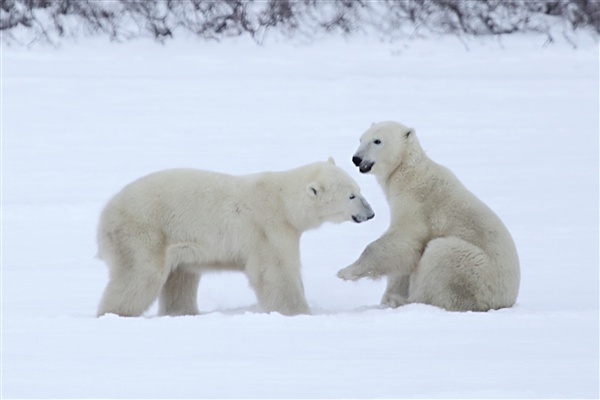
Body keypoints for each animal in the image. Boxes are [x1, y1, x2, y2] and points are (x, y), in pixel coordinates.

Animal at [96, 158, 372, 318]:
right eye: (351, 196)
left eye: (359, 189)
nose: (370, 213)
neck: (284, 202)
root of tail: (106, 213)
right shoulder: (269, 228)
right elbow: (277, 273)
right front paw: (300, 312)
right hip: (144, 232)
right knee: (139, 275)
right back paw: (115, 313)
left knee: (181, 278)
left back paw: (183, 313)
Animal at [338, 122, 520, 312]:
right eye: (360, 139)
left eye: (377, 141)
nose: (356, 158)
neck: (407, 171)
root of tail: (505, 301)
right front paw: (388, 296)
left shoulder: (417, 203)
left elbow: (404, 241)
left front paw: (346, 271)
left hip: (476, 272)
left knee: (441, 255)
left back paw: (407, 301)